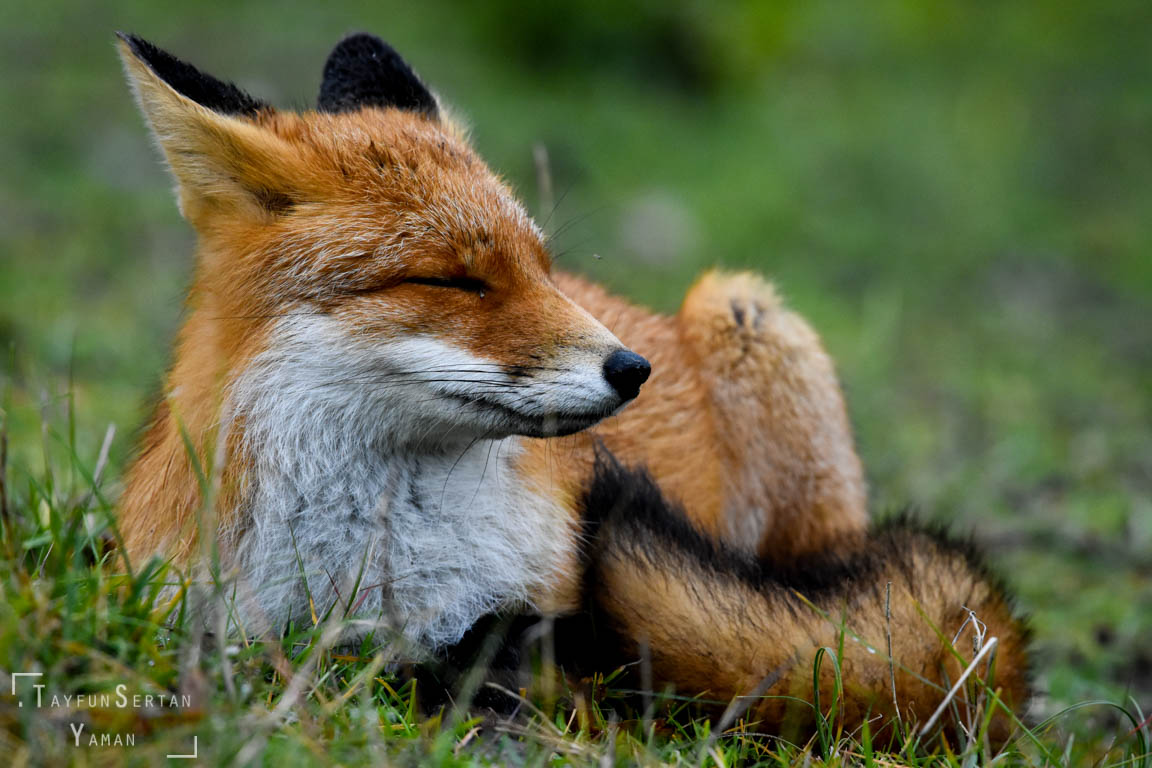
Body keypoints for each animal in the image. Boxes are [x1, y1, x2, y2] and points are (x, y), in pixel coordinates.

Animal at [115, 32, 1029, 741]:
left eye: (541, 269)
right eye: (453, 280)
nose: (631, 370)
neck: (370, 570)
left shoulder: (542, 614)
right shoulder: (197, 615)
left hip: (749, 318)